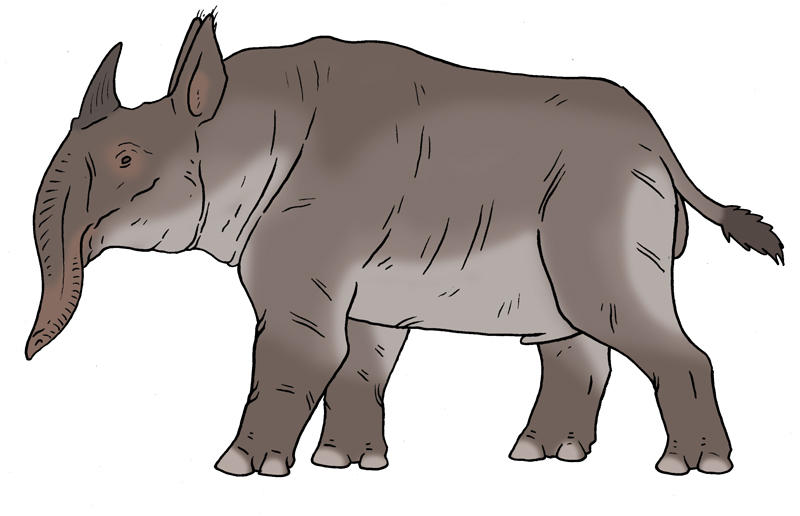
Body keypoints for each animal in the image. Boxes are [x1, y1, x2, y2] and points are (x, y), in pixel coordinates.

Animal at [28, 14, 783, 477]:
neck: (236, 124)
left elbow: (298, 350)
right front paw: (344, 466)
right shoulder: (362, 284)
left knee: (612, 313)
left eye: (127, 159)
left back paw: (691, 471)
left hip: (598, 195)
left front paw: (240, 470)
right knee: (571, 329)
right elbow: (361, 360)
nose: (29, 356)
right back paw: (543, 456)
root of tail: (661, 140)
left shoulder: (311, 239)